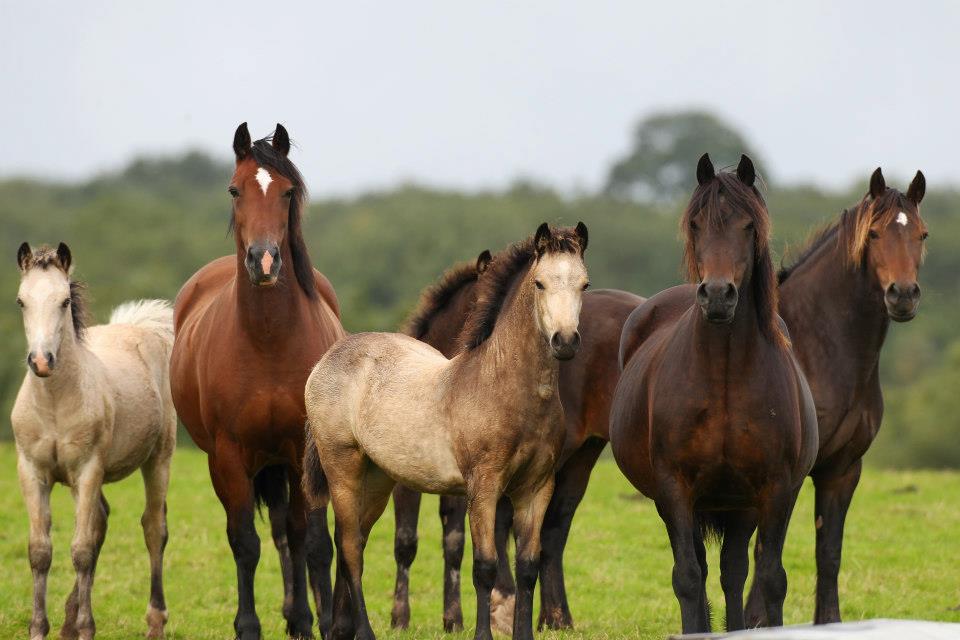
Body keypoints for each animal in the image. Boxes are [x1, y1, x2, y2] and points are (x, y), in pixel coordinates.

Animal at [10, 244, 175, 640]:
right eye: (21, 301)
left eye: (65, 301)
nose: (41, 361)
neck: (56, 402)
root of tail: (144, 327)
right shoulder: (32, 472)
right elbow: (40, 551)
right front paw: (40, 628)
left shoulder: (87, 470)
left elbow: (81, 549)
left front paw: (87, 627)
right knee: (101, 521)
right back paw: (69, 621)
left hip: (159, 458)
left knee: (153, 528)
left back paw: (154, 622)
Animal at [171, 122, 346, 636]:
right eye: (235, 189)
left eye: (287, 192)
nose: (264, 262)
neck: (268, 342)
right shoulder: (228, 457)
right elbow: (245, 543)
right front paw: (247, 625)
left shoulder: (301, 451)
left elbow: (312, 542)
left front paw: (318, 622)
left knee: (291, 534)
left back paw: (300, 616)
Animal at [608, 156, 816, 636]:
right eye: (696, 223)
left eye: (748, 225)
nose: (718, 295)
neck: (724, 376)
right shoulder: (675, 488)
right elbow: (687, 577)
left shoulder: (776, 489)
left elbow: (769, 578)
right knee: (705, 570)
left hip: (741, 506)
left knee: (733, 571)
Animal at [748, 165, 928, 624]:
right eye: (875, 234)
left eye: (922, 234)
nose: (903, 295)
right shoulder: (787, 477)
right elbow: (766, 557)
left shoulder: (843, 470)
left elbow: (828, 554)